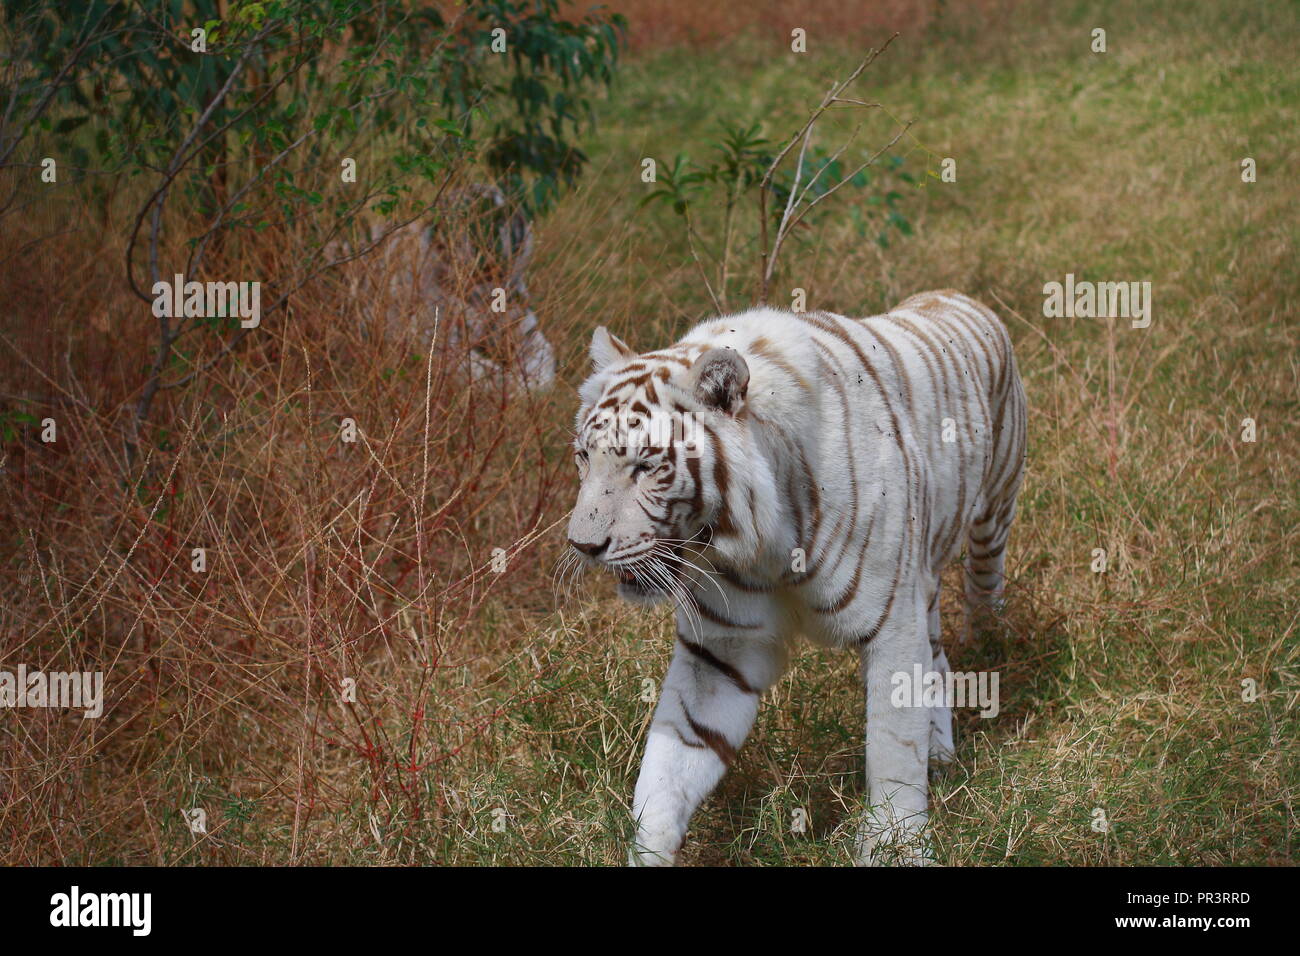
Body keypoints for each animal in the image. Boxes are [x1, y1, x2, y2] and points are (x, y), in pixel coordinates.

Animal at [566, 290, 1024, 868]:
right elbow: (671, 762)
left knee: (984, 586)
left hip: (992, 515)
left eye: (646, 467)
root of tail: (954, 294)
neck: (760, 544)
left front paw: (897, 845)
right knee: (937, 657)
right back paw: (941, 753)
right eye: (584, 456)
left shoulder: (894, 626)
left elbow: (894, 749)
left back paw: (989, 644)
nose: (583, 546)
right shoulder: (722, 652)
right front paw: (649, 851)